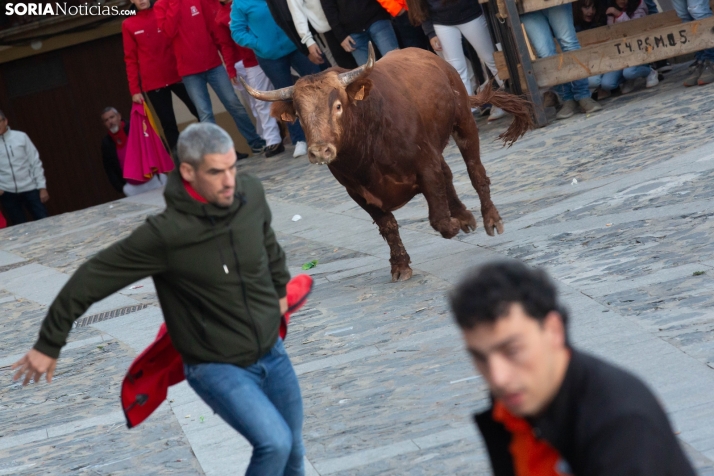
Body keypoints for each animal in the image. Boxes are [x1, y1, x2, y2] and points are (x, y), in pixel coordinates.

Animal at [242, 44, 532, 280]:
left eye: (338, 106)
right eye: (300, 115)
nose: (320, 151)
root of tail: (435, 58)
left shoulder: (425, 165)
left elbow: (438, 218)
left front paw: (453, 224)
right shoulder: (358, 192)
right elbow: (388, 226)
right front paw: (400, 265)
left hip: (464, 123)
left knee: (475, 171)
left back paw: (490, 220)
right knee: (449, 173)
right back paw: (465, 215)